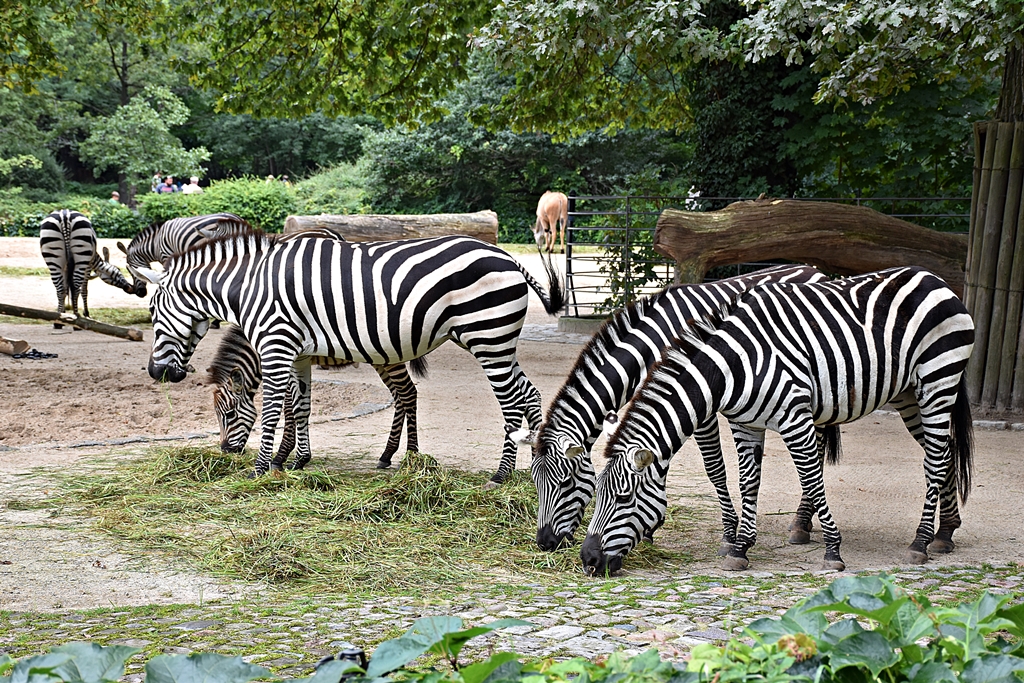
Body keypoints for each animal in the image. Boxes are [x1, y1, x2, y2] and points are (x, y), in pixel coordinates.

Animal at [206, 324, 419, 469]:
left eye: (230, 414)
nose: (225, 451)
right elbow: (296, 407)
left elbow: (289, 410)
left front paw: (281, 457)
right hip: (382, 359)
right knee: (399, 397)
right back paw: (387, 454)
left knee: (408, 392)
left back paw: (412, 456)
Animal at [509, 265, 831, 552]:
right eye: (535, 483)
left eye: (565, 483)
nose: (545, 544)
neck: (651, 346)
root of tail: (813, 269)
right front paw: (650, 530)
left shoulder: (696, 401)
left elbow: (714, 468)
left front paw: (728, 535)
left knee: (819, 448)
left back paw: (802, 523)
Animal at [583, 267, 974, 575]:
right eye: (595, 494)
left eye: (623, 498)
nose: (588, 559)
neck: (730, 367)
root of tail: (934, 278)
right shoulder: (745, 424)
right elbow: (748, 481)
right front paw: (740, 548)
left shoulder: (793, 419)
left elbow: (811, 479)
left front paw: (832, 550)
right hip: (909, 394)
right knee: (943, 452)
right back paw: (945, 533)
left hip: (938, 380)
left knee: (934, 460)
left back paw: (919, 543)